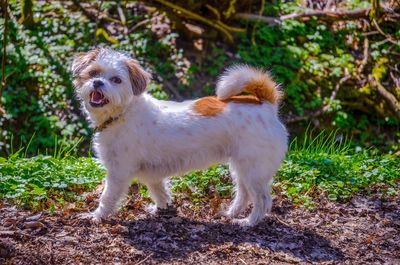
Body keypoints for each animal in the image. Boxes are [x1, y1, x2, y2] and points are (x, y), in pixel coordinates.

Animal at [72, 47, 288, 225]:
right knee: (243, 194)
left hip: (253, 171)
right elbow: (160, 192)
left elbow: (107, 197)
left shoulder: (118, 172)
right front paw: (162, 208)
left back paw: (249, 222)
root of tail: (267, 105)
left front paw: (96, 216)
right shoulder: (152, 175)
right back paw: (231, 214)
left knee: (262, 200)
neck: (123, 112)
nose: (97, 82)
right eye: (93, 72)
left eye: (116, 80)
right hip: (240, 167)